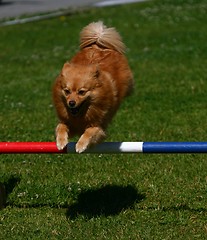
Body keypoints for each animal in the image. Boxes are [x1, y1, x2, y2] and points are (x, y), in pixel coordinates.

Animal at [52, 21, 133, 153]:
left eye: (81, 92)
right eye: (67, 91)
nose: (71, 103)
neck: (81, 115)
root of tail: (98, 45)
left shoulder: (98, 126)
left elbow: (89, 132)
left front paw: (81, 145)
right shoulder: (69, 123)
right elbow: (61, 127)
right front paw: (61, 141)